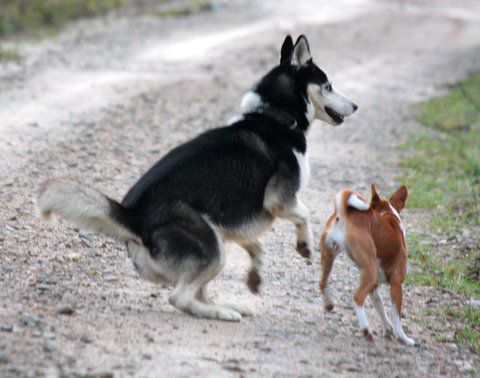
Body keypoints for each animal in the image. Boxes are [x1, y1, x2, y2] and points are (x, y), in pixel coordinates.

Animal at [37, 35, 358, 320]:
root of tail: (133, 216)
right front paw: (304, 246)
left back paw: (227, 305)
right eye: (328, 86)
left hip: (213, 244)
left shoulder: (228, 222)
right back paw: (223, 313)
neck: (274, 115)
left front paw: (254, 275)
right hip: (210, 248)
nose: (355, 106)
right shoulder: (279, 200)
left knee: (197, 292)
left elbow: (255, 245)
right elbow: (304, 214)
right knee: (179, 297)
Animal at [318, 184, 412, 346]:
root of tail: (345, 215)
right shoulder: (396, 284)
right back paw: (366, 330)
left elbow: (382, 310)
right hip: (370, 270)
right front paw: (403, 338)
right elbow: (397, 317)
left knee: (322, 283)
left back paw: (329, 304)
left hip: (329, 258)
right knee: (358, 298)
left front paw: (388, 330)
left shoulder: (374, 288)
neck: (388, 215)